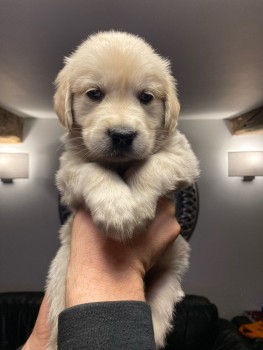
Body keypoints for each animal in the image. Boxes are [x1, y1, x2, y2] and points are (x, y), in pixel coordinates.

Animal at [47, 31, 200, 348]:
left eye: (146, 97)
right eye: (94, 94)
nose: (122, 135)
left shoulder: (183, 157)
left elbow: (152, 165)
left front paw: (136, 206)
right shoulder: (69, 169)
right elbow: (94, 171)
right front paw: (118, 210)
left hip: (171, 271)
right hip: (60, 268)